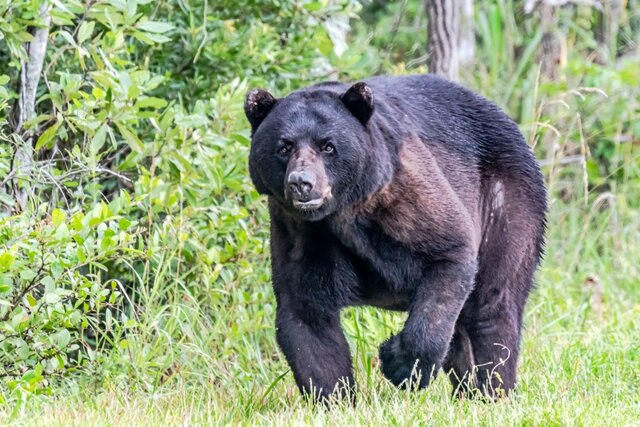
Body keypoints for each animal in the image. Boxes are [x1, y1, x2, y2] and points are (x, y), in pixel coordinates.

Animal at [244, 74, 547, 403]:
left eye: (328, 146)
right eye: (284, 147)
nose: (302, 183)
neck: (341, 213)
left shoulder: (399, 195)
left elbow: (448, 252)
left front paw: (401, 365)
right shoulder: (302, 231)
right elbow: (306, 313)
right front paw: (335, 398)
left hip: (505, 197)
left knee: (493, 301)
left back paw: (493, 389)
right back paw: (468, 390)